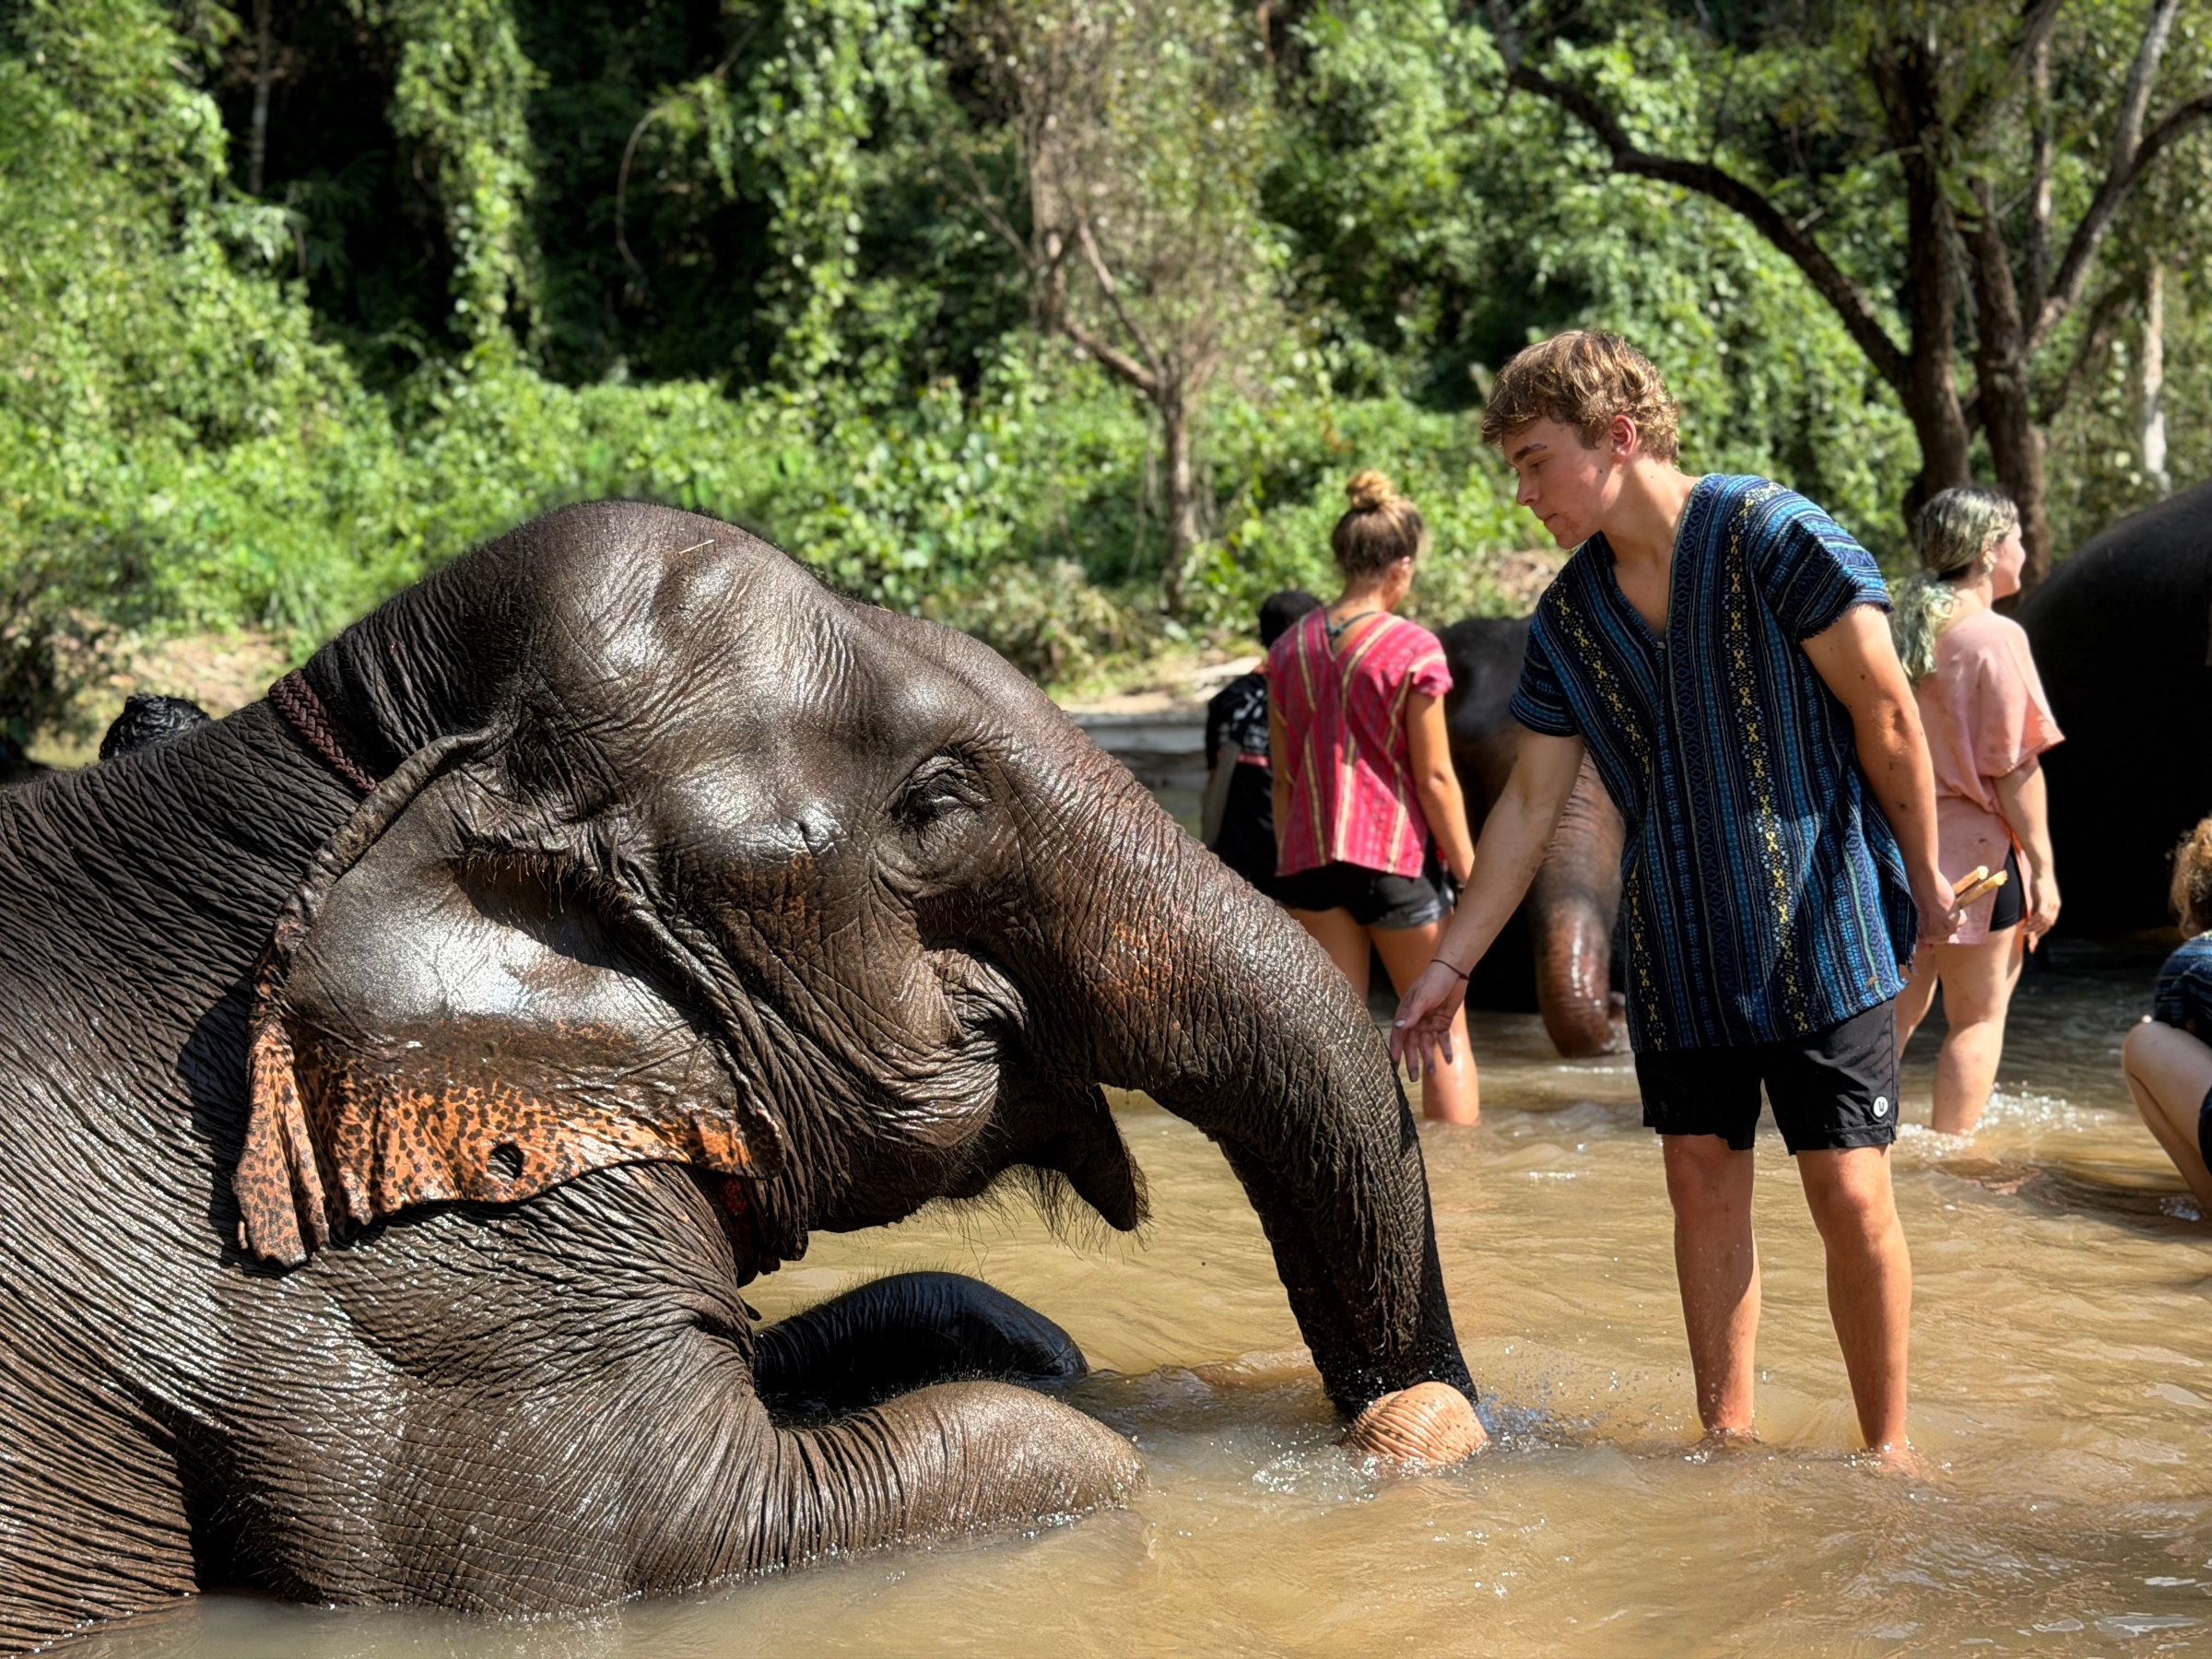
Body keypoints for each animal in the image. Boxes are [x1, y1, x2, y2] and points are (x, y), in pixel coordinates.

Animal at [0, 500, 1478, 1652]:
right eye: (937, 806)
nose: (1409, 1423)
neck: (353, 767)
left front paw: (1025, 1343)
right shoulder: (402, 1279)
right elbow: (659, 1537)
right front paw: (1092, 1439)